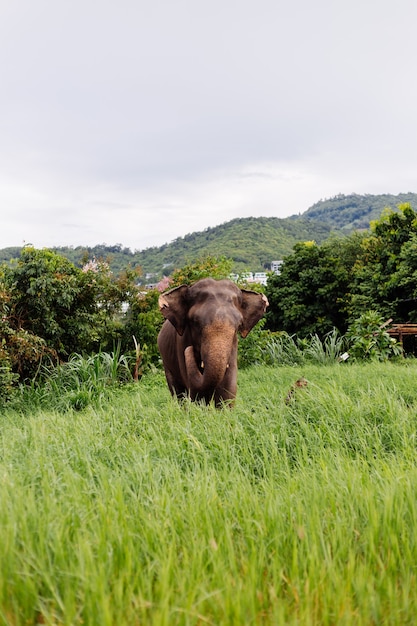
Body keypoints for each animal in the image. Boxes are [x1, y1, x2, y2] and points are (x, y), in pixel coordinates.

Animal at [158, 276, 268, 404]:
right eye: (195, 322)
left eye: (239, 324)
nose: (189, 349)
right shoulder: (181, 343)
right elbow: (196, 392)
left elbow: (227, 389)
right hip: (166, 363)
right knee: (178, 393)